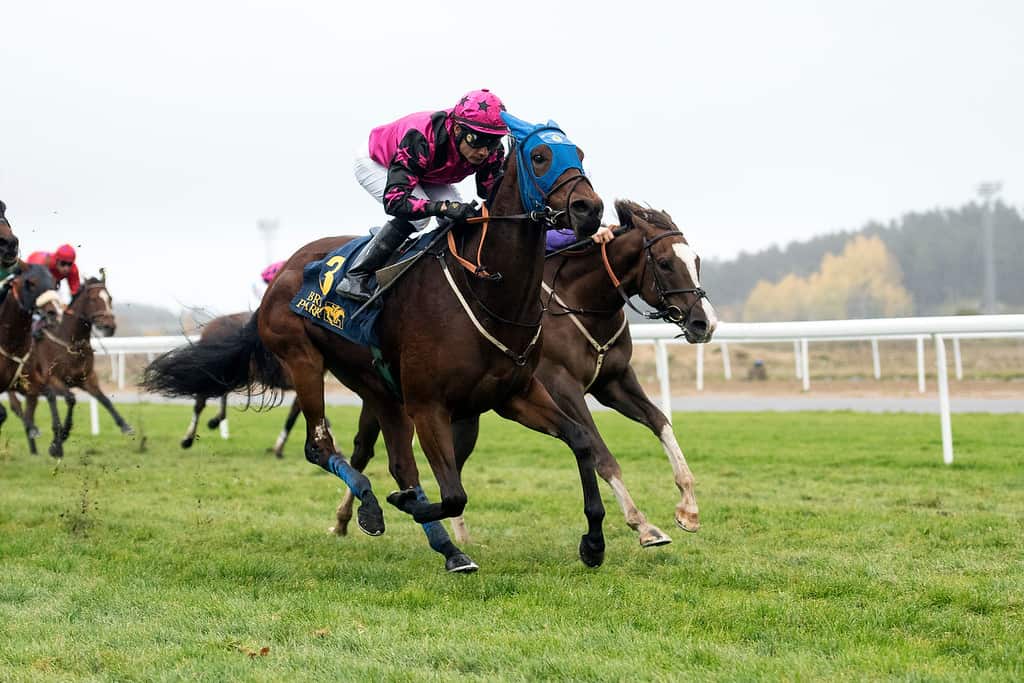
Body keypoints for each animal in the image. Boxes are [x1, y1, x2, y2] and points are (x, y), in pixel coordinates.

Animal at [144, 116, 606, 573]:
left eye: (580, 154)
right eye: (541, 156)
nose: (590, 209)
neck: (486, 291)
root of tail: (282, 274)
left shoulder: (515, 394)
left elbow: (581, 440)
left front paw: (593, 542)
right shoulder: (428, 404)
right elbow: (453, 493)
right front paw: (402, 505)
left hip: (376, 385)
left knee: (397, 462)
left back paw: (447, 549)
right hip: (304, 360)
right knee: (320, 446)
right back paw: (371, 505)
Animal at [335, 200, 720, 548]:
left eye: (698, 261)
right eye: (666, 264)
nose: (705, 323)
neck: (579, 301)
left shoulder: (614, 381)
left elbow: (660, 422)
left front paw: (688, 507)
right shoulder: (562, 385)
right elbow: (601, 453)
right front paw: (643, 525)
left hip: (457, 409)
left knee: (448, 458)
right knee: (363, 450)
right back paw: (351, 517)